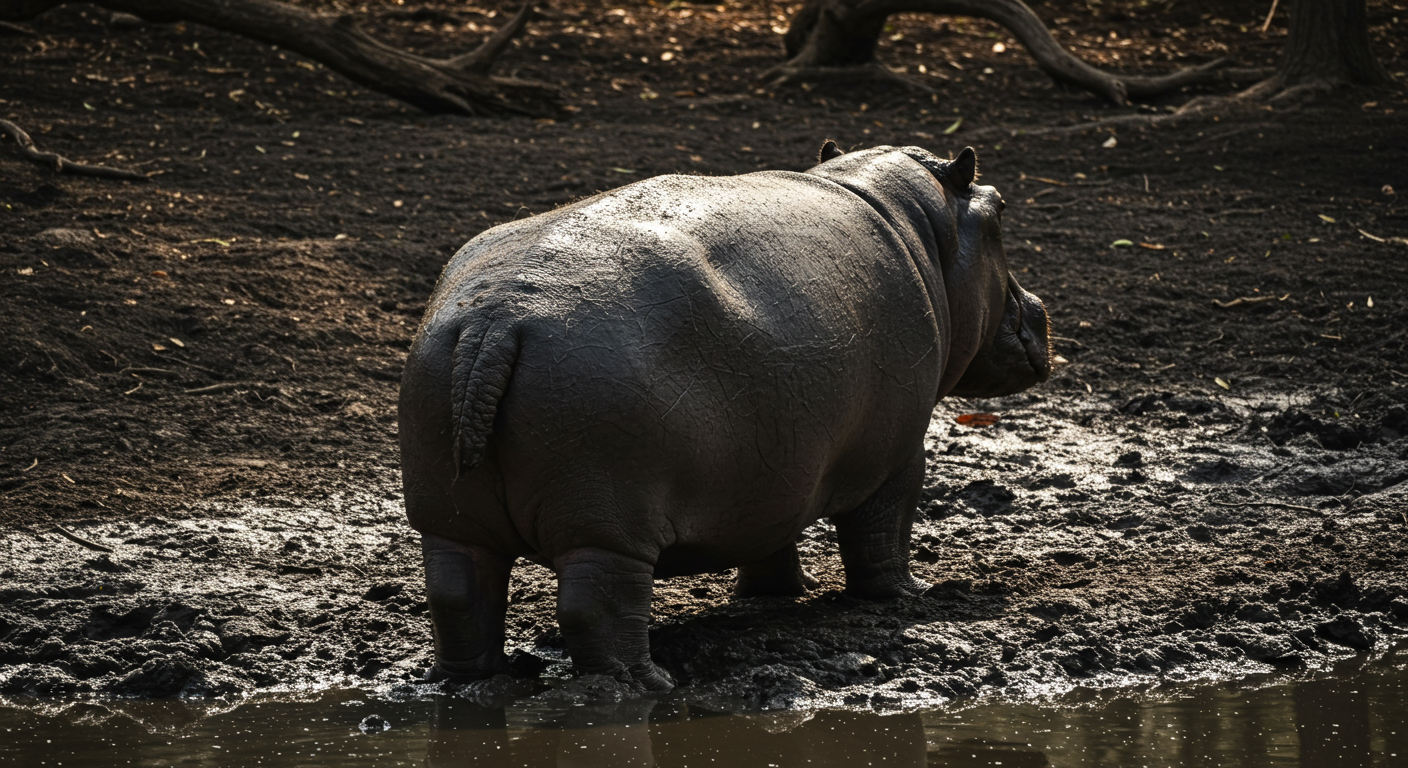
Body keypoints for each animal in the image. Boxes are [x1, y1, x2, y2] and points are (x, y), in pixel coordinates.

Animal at [399, 142, 1051, 692]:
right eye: (998, 210)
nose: (1038, 308)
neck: (920, 224)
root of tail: (498, 319)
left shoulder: (773, 465)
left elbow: (769, 535)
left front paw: (773, 595)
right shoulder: (897, 454)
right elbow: (882, 531)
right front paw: (906, 597)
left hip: (451, 516)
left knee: (458, 596)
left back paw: (473, 681)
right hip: (606, 524)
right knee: (596, 607)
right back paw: (647, 684)